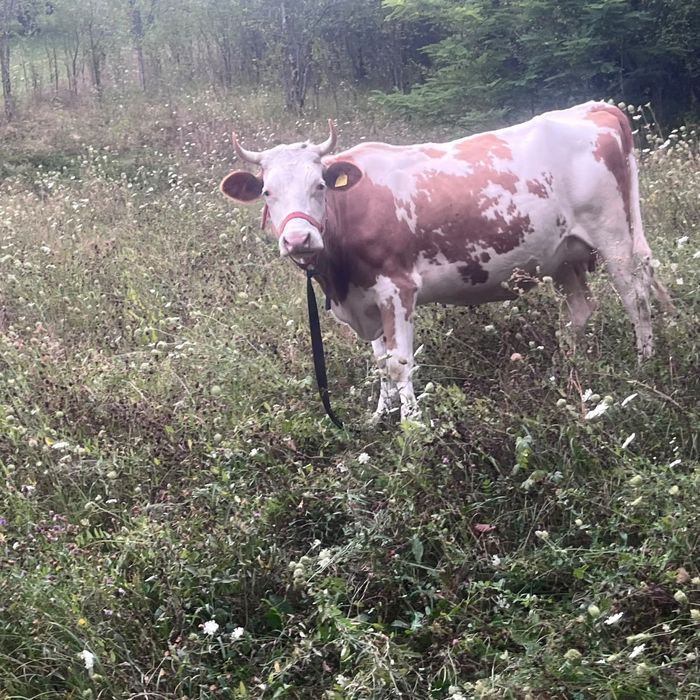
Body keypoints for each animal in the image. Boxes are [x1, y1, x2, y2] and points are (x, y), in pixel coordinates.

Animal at [220, 102, 672, 422]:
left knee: (636, 297)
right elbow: (379, 365)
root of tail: (593, 108)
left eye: (319, 186)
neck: (340, 276)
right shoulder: (363, 298)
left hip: (614, 235)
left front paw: (413, 426)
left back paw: (644, 364)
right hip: (564, 254)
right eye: (267, 192)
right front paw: (379, 417)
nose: (298, 238)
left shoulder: (397, 288)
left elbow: (399, 365)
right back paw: (567, 368)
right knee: (579, 310)